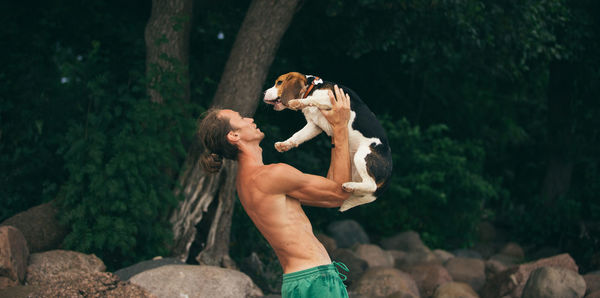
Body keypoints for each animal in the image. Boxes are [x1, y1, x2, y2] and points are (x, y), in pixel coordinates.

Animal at [264, 71, 392, 212]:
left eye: (279, 82)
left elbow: (313, 99)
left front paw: (297, 102)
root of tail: (389, 174)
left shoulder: (329, 99)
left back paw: (350, 185)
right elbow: (298, 135)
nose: (264, 93)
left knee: (371, 185)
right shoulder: (314, 125)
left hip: (362, 155)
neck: (312, 87)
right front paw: (284, 144)